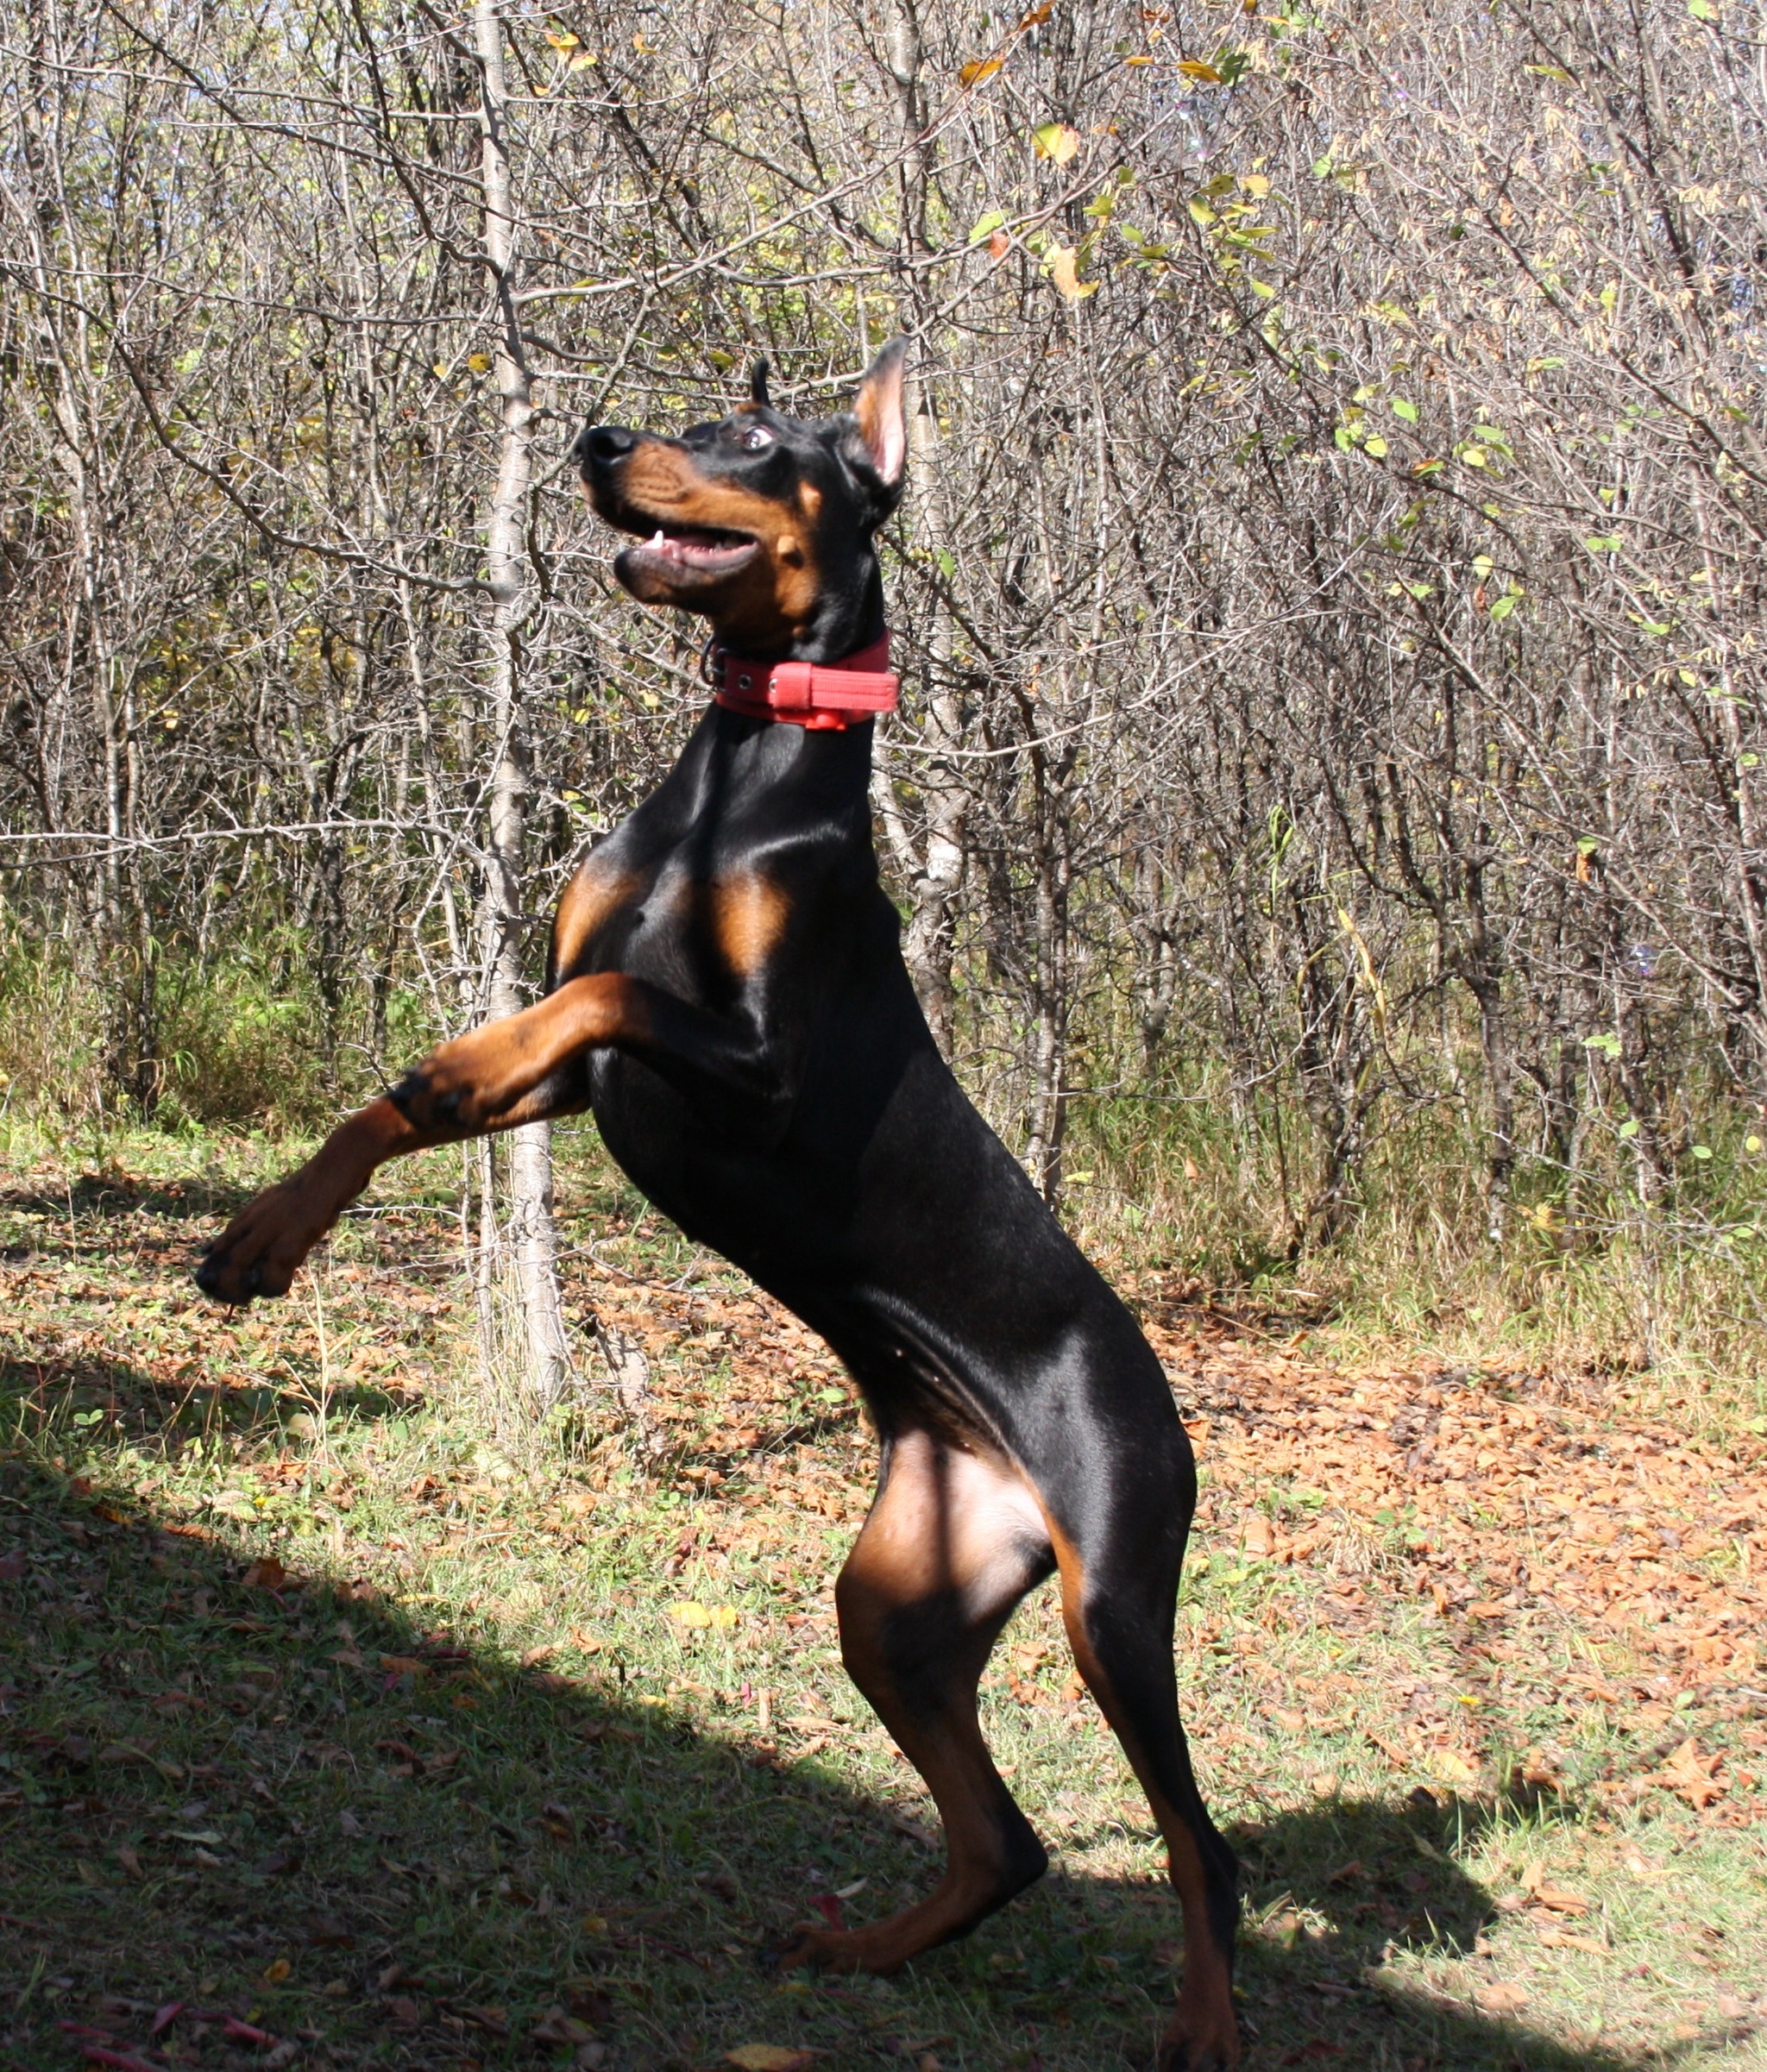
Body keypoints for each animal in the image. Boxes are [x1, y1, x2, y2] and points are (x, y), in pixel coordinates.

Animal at [197, 343, 1242, 2072]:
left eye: (753, 436)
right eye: (687, 412)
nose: (598, 439)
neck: (738, 776)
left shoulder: (752, 1063)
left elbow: (583, 998)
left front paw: (443, 1068)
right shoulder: (598, 1081)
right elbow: (433, 1088)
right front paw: (265, 1235)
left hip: (1116, 1592)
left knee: (1198, 1845)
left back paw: (1203, 2029)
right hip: (897, 1601)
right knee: (1006, 1840)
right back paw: (861, 1947)